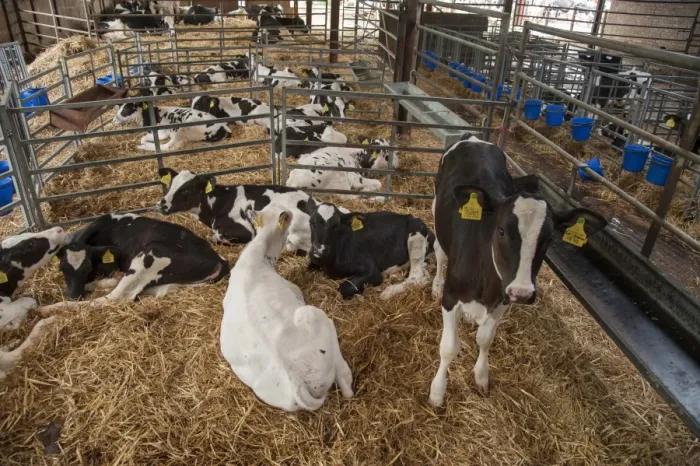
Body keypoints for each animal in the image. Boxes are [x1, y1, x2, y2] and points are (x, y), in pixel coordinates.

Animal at [37, 214, 229, 316]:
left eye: (87, 268)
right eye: (61, 268)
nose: (73, 295)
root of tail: (218, 259)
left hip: (149, 257)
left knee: (115, 297)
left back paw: (46, 309)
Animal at [156, 168, 315, 254]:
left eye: (186, 190)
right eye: (170, 185)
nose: (160, 205)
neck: (220, 203)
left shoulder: (246, 231)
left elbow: (216, 237)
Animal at [220, 203, 353, 411]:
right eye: (288, 220)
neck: (256, 257)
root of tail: (295, 377)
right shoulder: (294, 288)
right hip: (313, 313)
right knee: (346, 386)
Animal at [427, 133, 607, 406]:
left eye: (549, 239)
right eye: (501, 230)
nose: (522, 293)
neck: (486, 284)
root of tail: (473, 138)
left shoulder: (503, 299)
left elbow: (485, 339)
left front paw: (481, 375)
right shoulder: (452, 296)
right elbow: (448, 348)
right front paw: (437, 391)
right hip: (436, 208)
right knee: (439, 250)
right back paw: (435, 285)